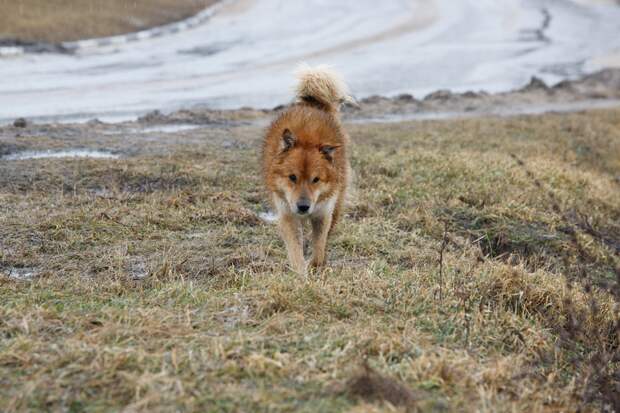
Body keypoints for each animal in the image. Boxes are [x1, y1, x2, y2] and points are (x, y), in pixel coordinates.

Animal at [260, 64, 352, 274]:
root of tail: (312, 104)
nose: (303, 207)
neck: (307, 139)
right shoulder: (287, 215)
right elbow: (295, 252)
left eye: (315, 179)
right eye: (292, 177)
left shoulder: (323, 213)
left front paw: (314, 264)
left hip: (337, 205)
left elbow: (318, 251)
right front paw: (300, 273)